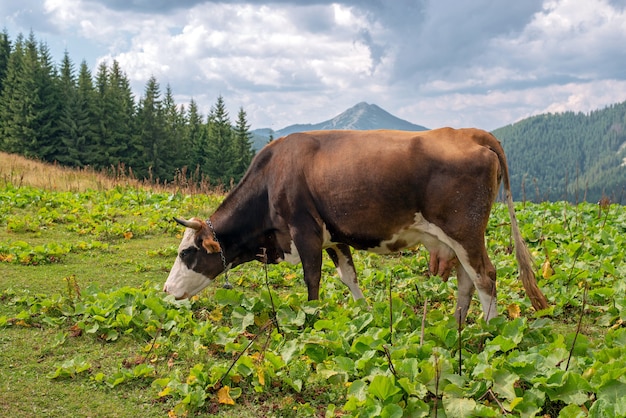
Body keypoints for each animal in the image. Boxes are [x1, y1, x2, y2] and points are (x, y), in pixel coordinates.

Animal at [165, 127, 544, 324]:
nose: (166, 290)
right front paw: (365, 314)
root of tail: (470, 133)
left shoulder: (305, 233)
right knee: (468, 279)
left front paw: (313, 318)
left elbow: (312, 280)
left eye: (186, 253)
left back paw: (492, 329)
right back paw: (459, 324)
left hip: (465, 231)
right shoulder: (333, 237)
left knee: (486, 276)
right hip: (458, 238)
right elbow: (349, 277)